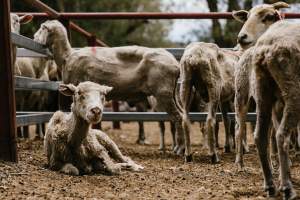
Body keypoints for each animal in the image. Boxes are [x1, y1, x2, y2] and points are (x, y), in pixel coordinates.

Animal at [33, 21, 188, 157]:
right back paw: (180, 148)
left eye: (41, 28)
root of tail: (175, 64)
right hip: (171, 93)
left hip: (163, 92)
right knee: (182, 115)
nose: (34, 38)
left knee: (178, 117)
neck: (66, 56)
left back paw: (180, 149)